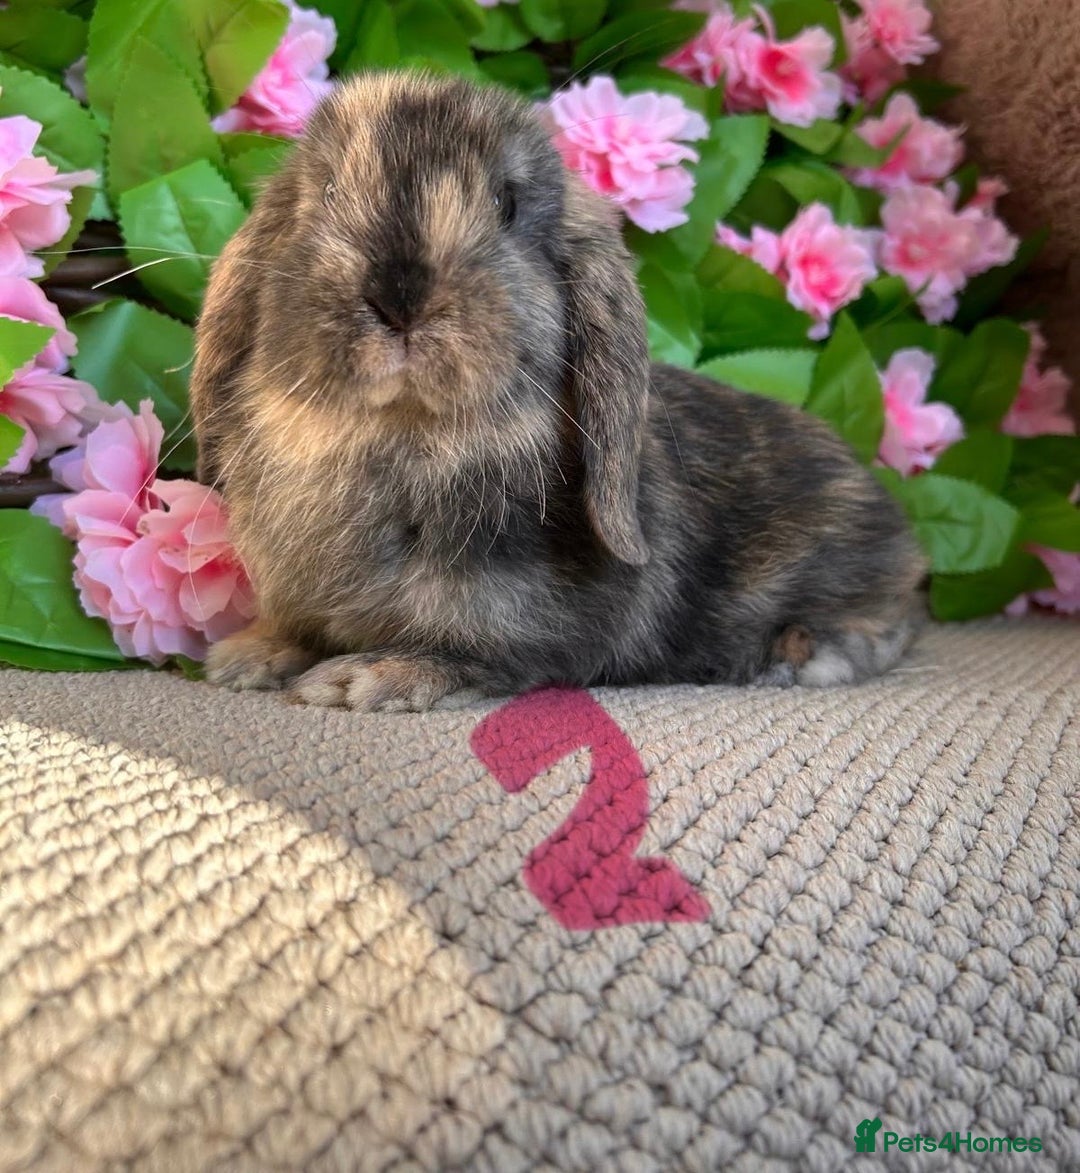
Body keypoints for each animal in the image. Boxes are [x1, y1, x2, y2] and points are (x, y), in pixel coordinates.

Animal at [191, 70, 925, 712]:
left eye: (508, 205)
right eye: (327, 191)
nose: (398, 296)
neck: (397, 436)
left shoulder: (535, 632)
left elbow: (476, 658)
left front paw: (359, 680)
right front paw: (247, 656)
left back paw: (791, 655)